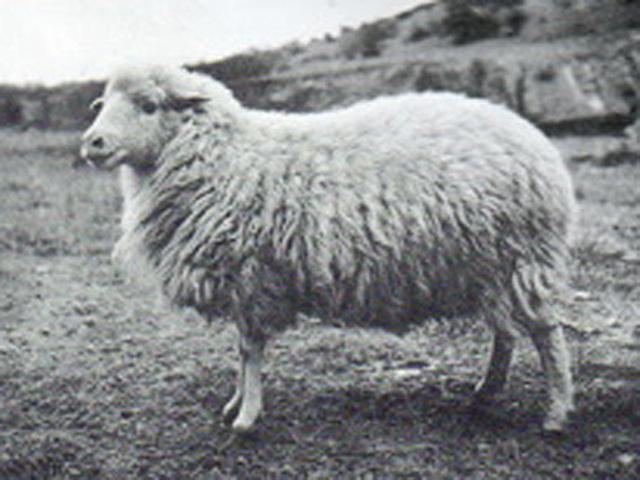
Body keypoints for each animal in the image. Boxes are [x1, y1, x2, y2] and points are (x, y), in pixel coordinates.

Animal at [80, 64, 577, 433]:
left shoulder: (252, 276)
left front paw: (246, 416)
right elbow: (241, 351)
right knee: (505, 332)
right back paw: (485, 393)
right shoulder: (246, 284)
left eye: (149, 106)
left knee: (546, 335)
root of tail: (533, 138)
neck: (223, 157)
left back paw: (555, 413)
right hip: (488, 267)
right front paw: (235, 403)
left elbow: (249, 350)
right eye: (104, 104)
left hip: (521, 259)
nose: (92, 142)